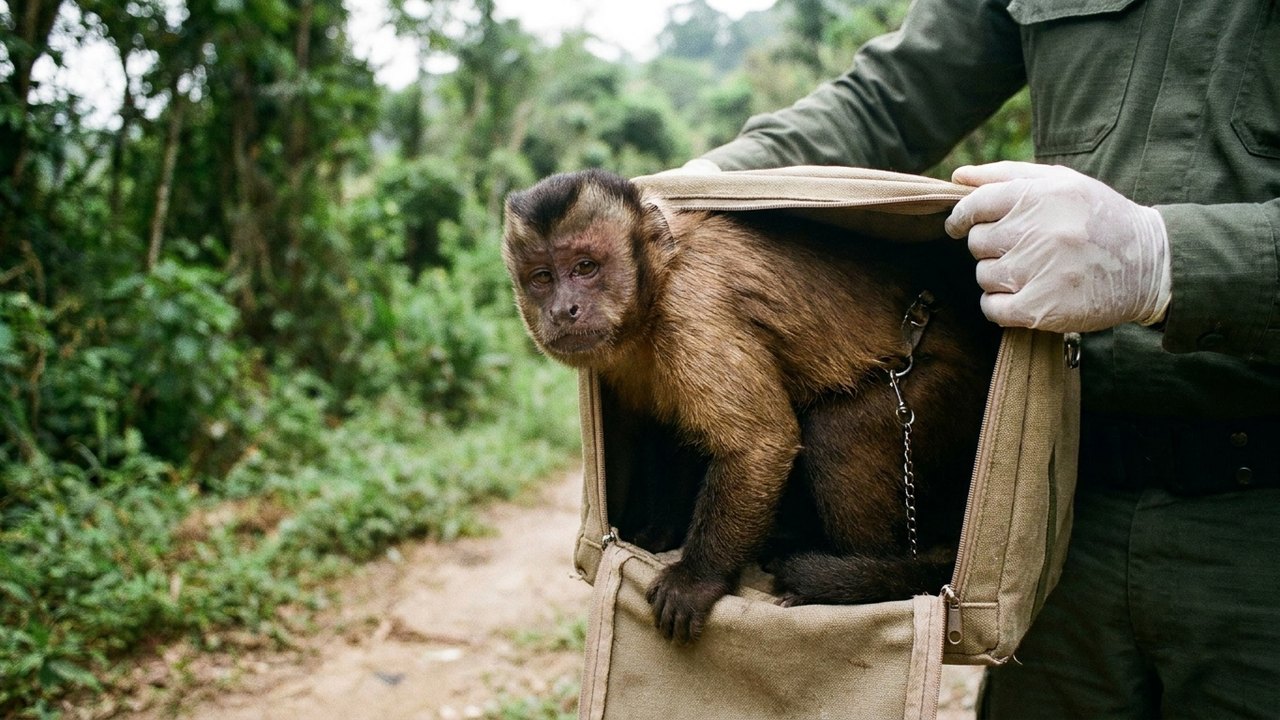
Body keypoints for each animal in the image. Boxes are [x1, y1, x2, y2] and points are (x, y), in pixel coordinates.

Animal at [502, 169, 996, 644]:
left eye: (585, 267)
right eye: (542, 278)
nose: (564, 309)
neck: (657, 287)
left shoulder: (694, 310)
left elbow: (761, 443)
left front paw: (696, 579)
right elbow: (668, 436)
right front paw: (660, 531)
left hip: (946, 390)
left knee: (838, 432)